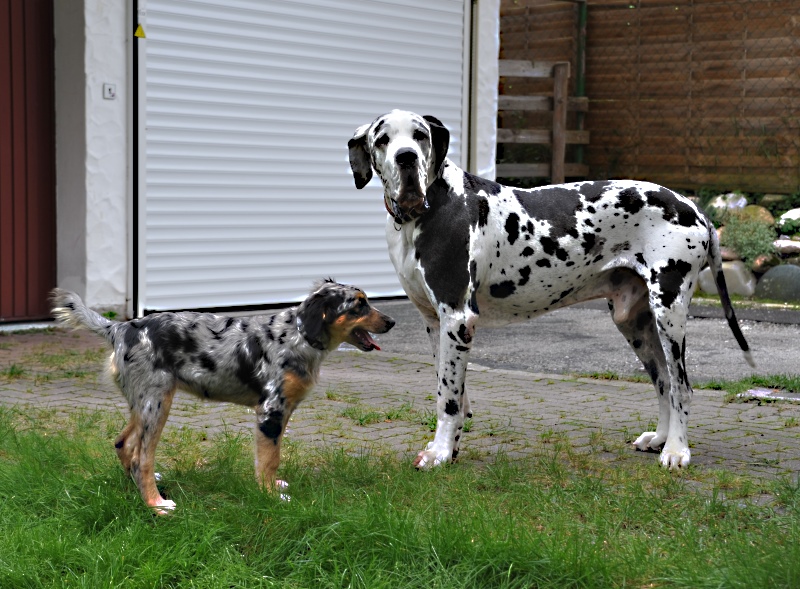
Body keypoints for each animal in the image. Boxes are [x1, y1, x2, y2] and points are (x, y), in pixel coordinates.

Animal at [51, 280, 394, 513]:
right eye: (359, 305)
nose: (392, 321)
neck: (299, 336)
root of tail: (122, 329)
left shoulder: (282, 412)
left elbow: (271, 457)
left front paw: (273, 487)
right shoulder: (271, 410)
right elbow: (269, 459)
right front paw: (271, 495)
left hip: (143, 402)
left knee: (123, 443)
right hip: (156, 402)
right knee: (141, 458)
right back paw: (155, 503)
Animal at [348, 109, 754, 471]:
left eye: (419, 135)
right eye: (382, 139)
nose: (406, 157)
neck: (428, 208)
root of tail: (692, 208)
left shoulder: (457, 318)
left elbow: (447, 398)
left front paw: (441, 453)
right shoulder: (436, 323)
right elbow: (451, 392)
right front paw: (449, 446)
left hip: (669, 313)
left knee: (682, 386)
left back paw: (677, 451)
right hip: (635, 323)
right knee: (665, 382)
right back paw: (660, 439)